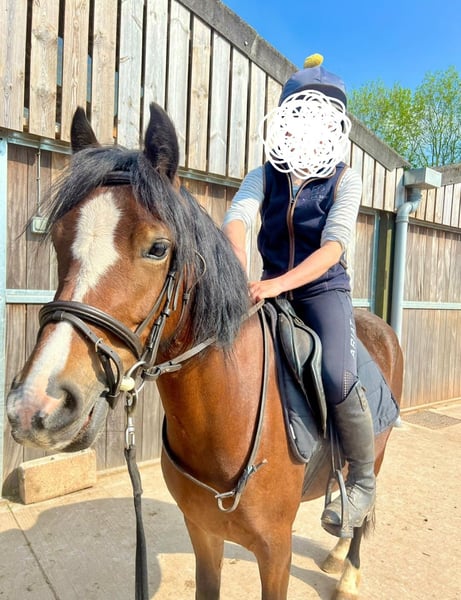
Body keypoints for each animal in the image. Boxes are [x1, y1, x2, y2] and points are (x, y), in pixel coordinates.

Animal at [6, 103, 403, 600]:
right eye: (59, 238)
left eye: (158, 248)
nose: (34, 405)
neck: (227, 416)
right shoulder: (203, 533)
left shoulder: (276, 551)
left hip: (377, 453)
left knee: (364, 502)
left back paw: (348, 571)